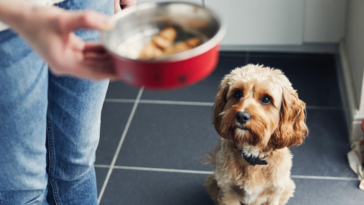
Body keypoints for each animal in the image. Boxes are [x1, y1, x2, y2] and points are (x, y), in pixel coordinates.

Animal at [205, 64, 308, 205]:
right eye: (237, 93)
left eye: (266, 99)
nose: (241, 116)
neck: (252, 156)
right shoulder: (228, 191)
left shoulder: (273, 194)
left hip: (288, 187)